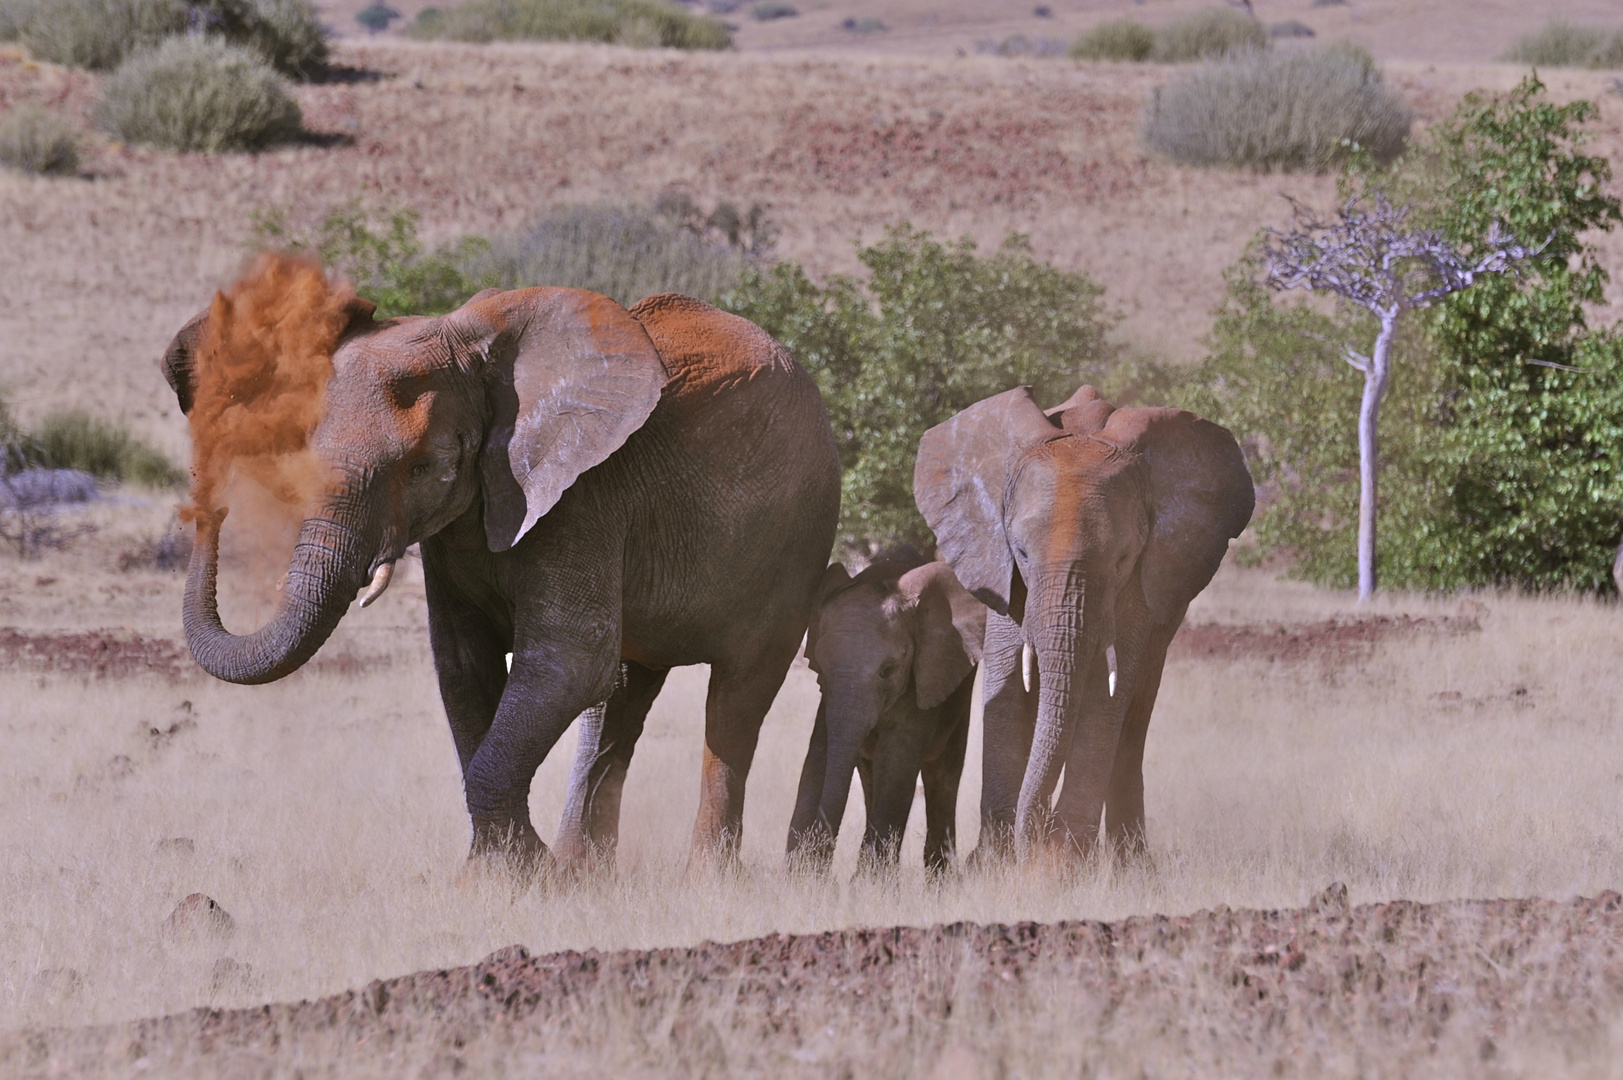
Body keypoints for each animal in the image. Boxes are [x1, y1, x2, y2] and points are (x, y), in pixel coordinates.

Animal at [164, 284, 843, 870]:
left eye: (423, 467)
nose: (208, 504)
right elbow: (466, 663)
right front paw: (511, 871)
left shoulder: (585, 494)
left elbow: (569, 658)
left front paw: (520, 873)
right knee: (622, 697)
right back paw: (584, 872)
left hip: (797, 540)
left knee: (736, 697)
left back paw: (703, 877)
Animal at [788, 542, 986, 870]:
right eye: (822, 670)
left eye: (888, 670)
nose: (820, 860)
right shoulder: (828, 697)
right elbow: (819, 753)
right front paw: (801, 874)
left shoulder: (923, 676)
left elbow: (896, 761)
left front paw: (865, 881)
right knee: (870, 776)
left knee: (942, 773)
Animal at [915, 383, 1252, 864]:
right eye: (1021, 552)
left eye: (1123, 559)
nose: (1033, 838)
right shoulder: (997, 566)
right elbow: (1008, 680)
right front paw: (995, 866)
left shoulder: (1140, 584)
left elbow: (1105, 694)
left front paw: (1058, 865)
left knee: (1133, 719)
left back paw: (1133, 867)